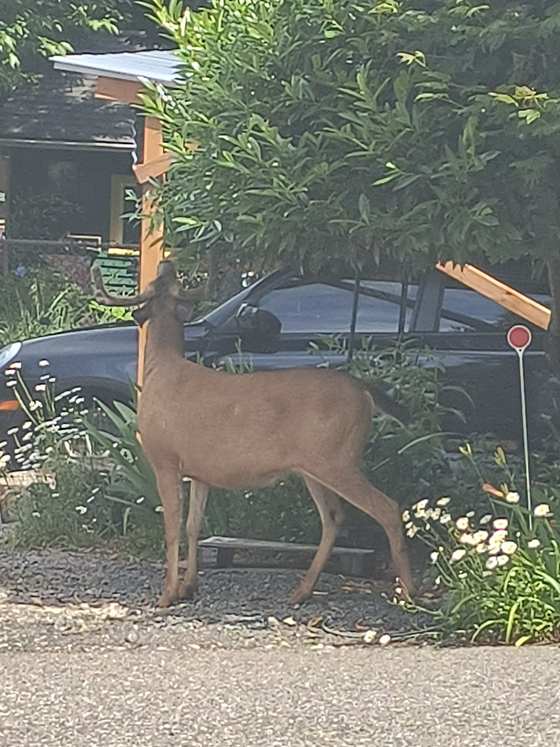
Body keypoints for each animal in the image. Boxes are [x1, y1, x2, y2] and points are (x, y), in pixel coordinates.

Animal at [92, 260, 414, 607]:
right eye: (165, 277)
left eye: (155, 282)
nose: (167, 262)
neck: (159, 368)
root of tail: (363, 390)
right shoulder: (200, 470)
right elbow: (193, 525)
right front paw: (190, 586)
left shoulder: (165, 457)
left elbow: (172, 527)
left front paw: (167, 594)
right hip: (316, 466)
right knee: (334, 518)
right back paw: (302, 590)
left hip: (337, 458)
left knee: (386, 508)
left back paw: (410, 592)